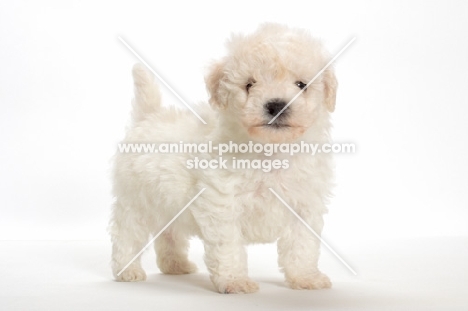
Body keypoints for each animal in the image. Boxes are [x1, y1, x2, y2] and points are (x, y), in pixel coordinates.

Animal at [109, 23, 336, 294]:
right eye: (249, 84)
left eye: (301, 84)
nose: (276, 105)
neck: (270, 152)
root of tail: (148, 117)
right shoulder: (221, 205)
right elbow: (229, 248)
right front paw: (235, 282)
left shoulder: (304, 206)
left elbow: (303, 247)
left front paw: (305, 278)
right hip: (135, 201)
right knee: (127, 235)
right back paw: (127, 270)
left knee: (169, 235)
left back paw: (175, 265)